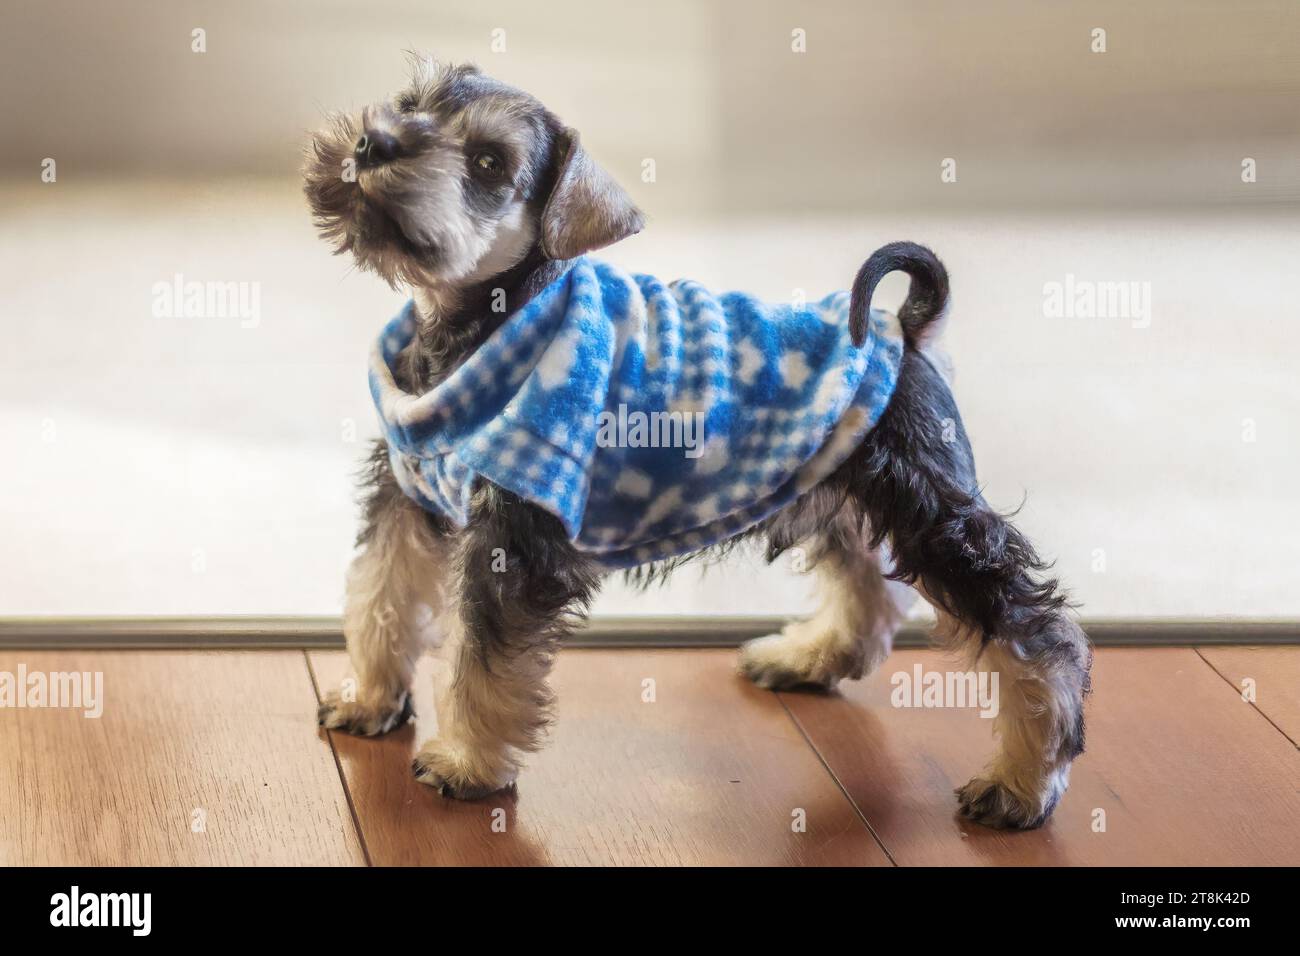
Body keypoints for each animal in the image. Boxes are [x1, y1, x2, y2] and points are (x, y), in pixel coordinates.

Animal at [301, 55, 1086, 832]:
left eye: (491, 162)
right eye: (412, 101)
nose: (373, 142)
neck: (473, 325)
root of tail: (905, 332)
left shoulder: (515, 542)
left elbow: (481, 656)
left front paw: (466, 762)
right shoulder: (405, 495)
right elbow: (380, 593)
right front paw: (369, 698)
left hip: (933, 515)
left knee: (1035, 632)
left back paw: (1021, 783)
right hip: (830, 484)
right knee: (868, 583)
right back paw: (807, 657)